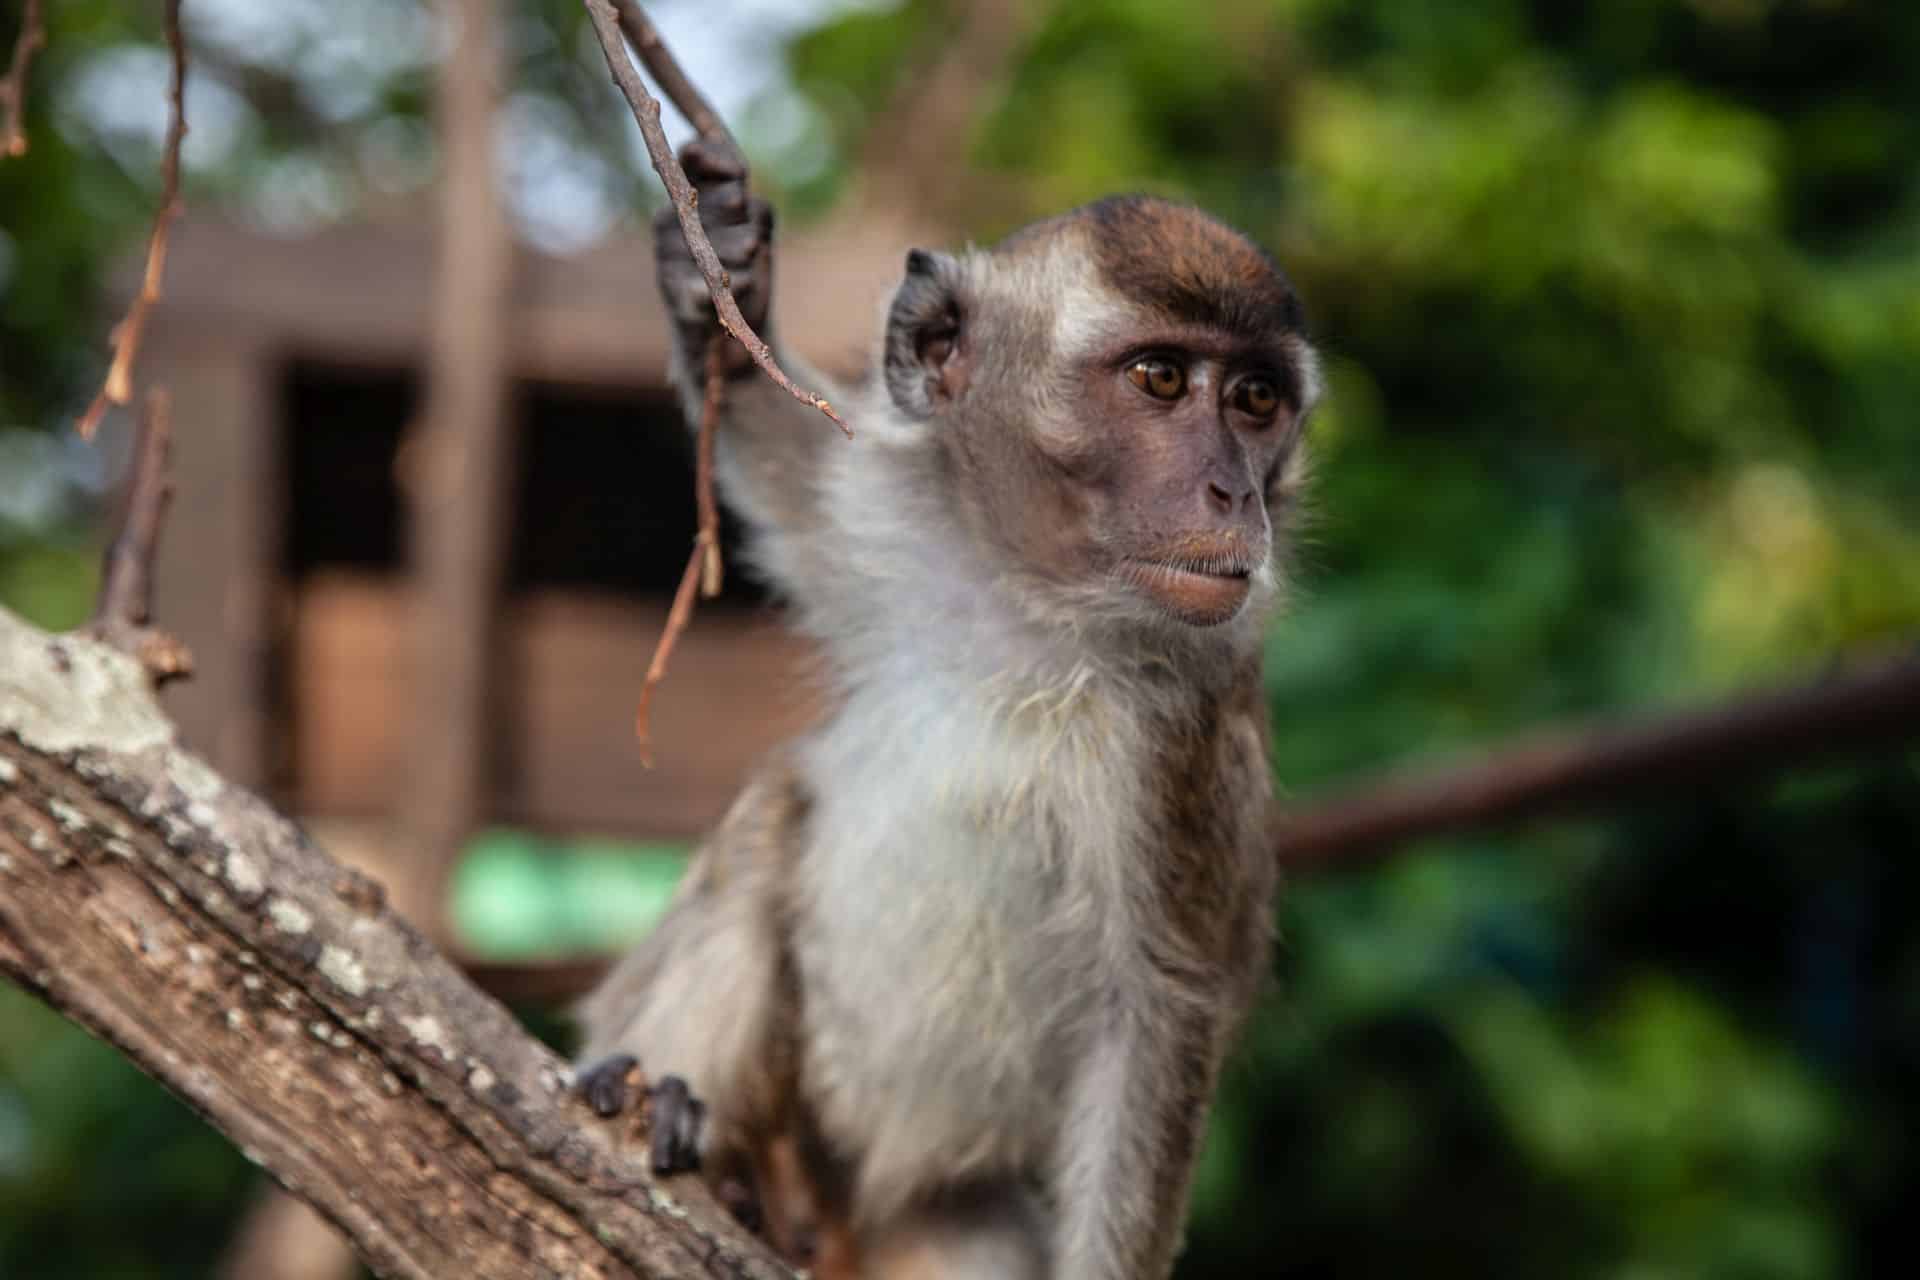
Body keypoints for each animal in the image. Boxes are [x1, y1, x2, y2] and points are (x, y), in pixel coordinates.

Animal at [575, 140, 1319, 1280]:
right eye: (1160, 378)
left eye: (1254, 400)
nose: (1233, 493)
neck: (1035, 611)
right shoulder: (902, 529)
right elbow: (802, 490)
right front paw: (722, 281)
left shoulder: (1177, 735)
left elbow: (1156, 1005)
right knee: (776, 808)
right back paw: (692, 1128)